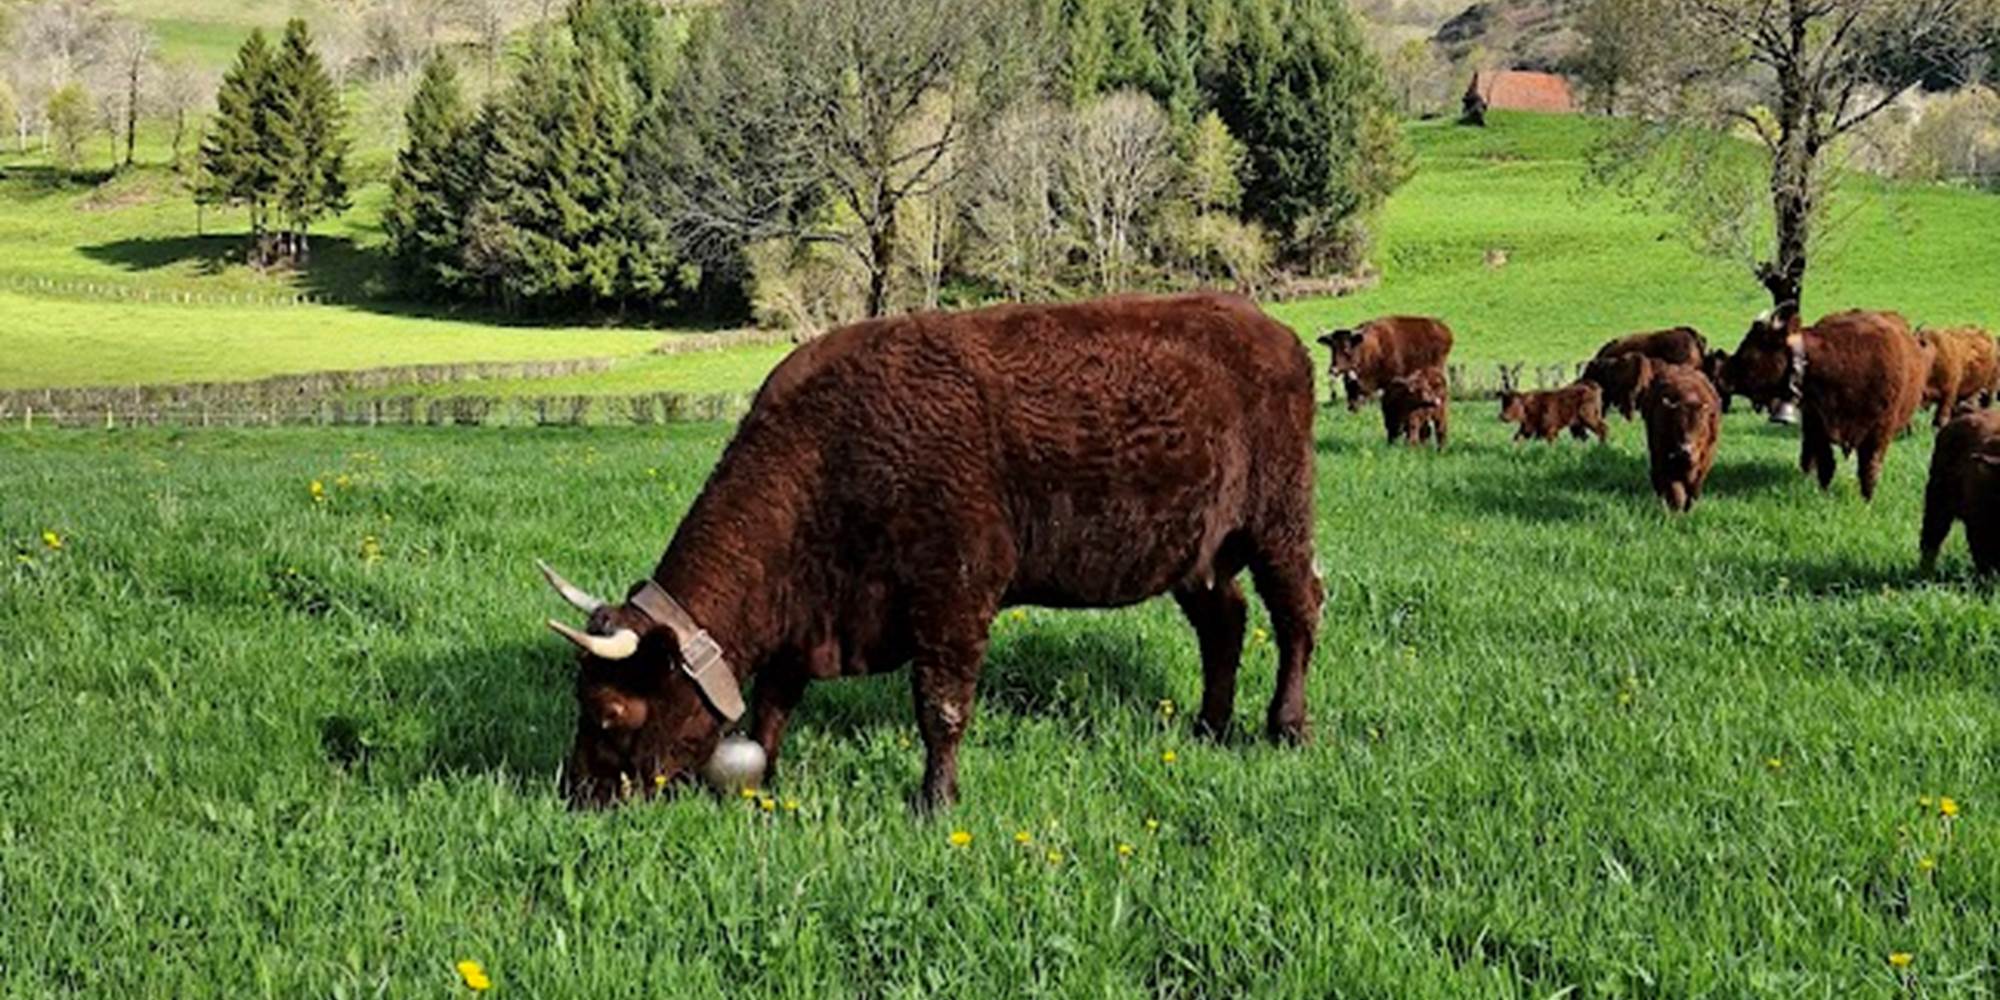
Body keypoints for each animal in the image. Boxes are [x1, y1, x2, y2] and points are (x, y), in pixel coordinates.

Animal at [537, 294, 1323, 810]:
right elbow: (773, 701)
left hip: (1278, 519)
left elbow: (940, 705)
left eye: (609, 712)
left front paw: (935, 799)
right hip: (1200, 549)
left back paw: (1285, 727)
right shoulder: (809, 612)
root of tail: (1269, 326)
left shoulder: (956, 593)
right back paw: (1210, 724)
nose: (576, 796)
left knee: (1297, 614)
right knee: (1225, 623)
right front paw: (770, 779)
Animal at [1640, 364, 1721, 513]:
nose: (1685, 451)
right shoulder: (1664, 459)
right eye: (1676, 426)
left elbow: (1694, 490)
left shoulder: (1705, 463)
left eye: (1701, 427)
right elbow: (1675, 491)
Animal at [1722, 309, 1932, 501]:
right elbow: (1826, 464)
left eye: (1751, 348)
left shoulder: (1879, 431)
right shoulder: (1817, 425)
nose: (1724, 375)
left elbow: (1869, 468)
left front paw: (1867, 500)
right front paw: (1823, 493)